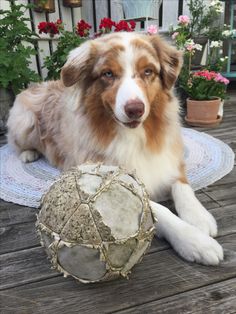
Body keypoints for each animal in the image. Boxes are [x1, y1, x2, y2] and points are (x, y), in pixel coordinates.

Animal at [7, 32, 223, 264]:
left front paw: (199, 218)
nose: (135, 109)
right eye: (108, 74)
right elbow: (159, 209)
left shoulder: (170, 159)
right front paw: (196, 241)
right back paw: (28, 154)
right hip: (25, 122)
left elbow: (183, 187)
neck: (133, 136)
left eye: (148, 71)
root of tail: (37, 85)